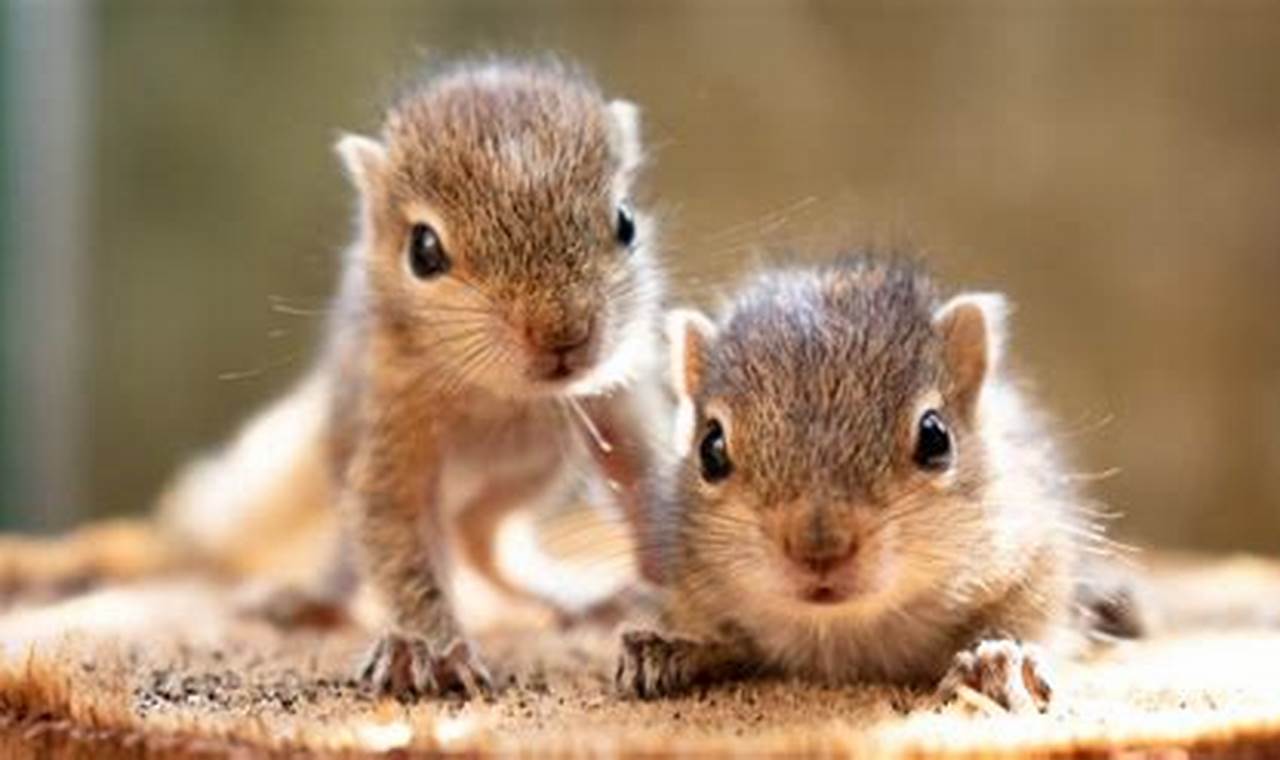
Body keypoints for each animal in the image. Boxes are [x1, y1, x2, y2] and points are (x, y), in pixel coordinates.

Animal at [158, 58, 669, 699]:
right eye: (423, 250)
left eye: (625, 222)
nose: (564, 335)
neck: (502, 396)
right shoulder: (392, 418)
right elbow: (398, 540)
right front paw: (428, 648)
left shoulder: (621, 398)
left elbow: (647, 481)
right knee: (371, 555)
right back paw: (313, 598)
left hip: (526, 476)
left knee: (482, 540)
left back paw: (577, 597)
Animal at [616, 254, 1132, 711]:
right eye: (711, 449)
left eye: (935, 437)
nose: (819, 549)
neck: (841, 630)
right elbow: (724, 640)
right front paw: (665, 649)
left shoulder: (1037, 558)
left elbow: (1030, 621)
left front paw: (999, 659)